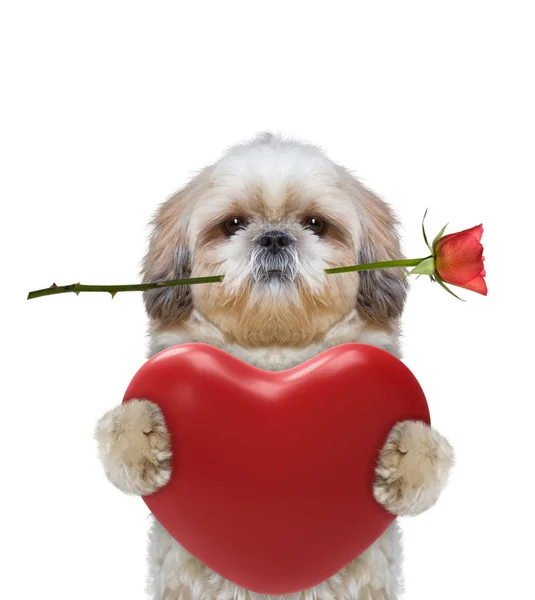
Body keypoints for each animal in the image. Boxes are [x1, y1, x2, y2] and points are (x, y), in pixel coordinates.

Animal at [94, 134, 454, 596]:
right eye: (232, 224)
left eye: (316, 224)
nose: (274, 238)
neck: (274, 355)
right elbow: (119, 426)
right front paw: (142, 440)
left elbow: (429, 450)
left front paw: (404, 461)